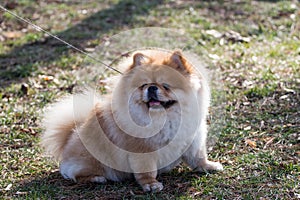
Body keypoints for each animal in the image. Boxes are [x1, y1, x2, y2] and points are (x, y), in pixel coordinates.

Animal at [41, 48, 223, 192]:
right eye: (143, 85)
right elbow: (147, 171)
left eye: (166, 86)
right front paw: (151, 185)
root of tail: (68, 139)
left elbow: (198, 157)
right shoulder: (142, 152)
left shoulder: (193, 140)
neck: (165, 120)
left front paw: (209, 166)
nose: (151, 88)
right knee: (75, 174)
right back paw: (96, 178)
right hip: (92, 161)